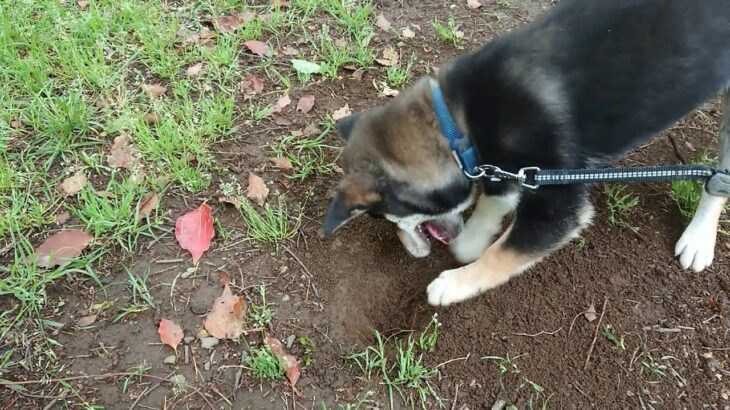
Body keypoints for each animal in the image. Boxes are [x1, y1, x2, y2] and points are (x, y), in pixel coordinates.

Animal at [322, 0, 728, 306]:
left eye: (382, 214)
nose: (411, 248)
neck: (458, 125)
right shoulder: (505, 168)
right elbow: (493, 201)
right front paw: (471, 241)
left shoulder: (557, 205)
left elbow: (503, 253)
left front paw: (453, 283)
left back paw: (698, 238)